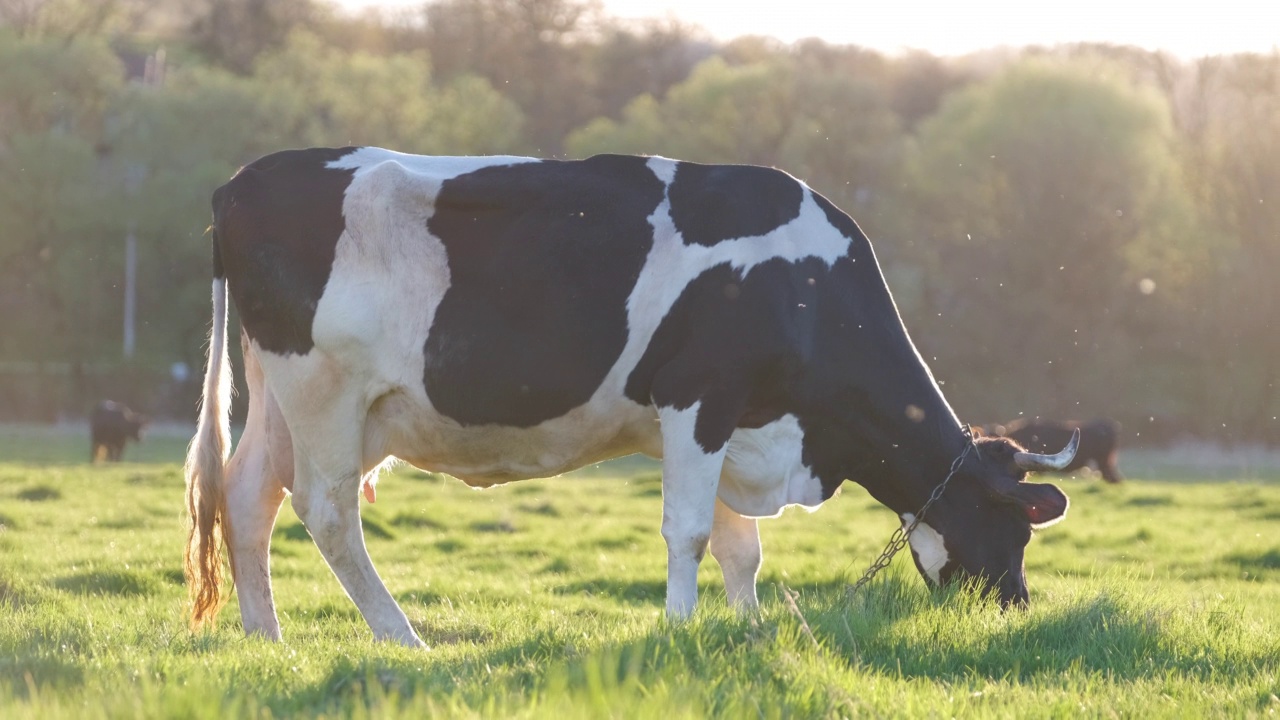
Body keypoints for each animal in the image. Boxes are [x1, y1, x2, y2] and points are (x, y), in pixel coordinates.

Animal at [183, 146, 1080, 645]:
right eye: (1015, 527)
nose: (1015, 609)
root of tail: (238, 183)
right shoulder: (699, 400)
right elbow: (690, 533)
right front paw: (681, 628)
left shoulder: (730, 424)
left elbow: (740, 547)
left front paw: (751, 629)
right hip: (325, 389)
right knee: (328, 512)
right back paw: (401, 637)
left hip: (279, 394)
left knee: (248, 494)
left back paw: (267, 637)